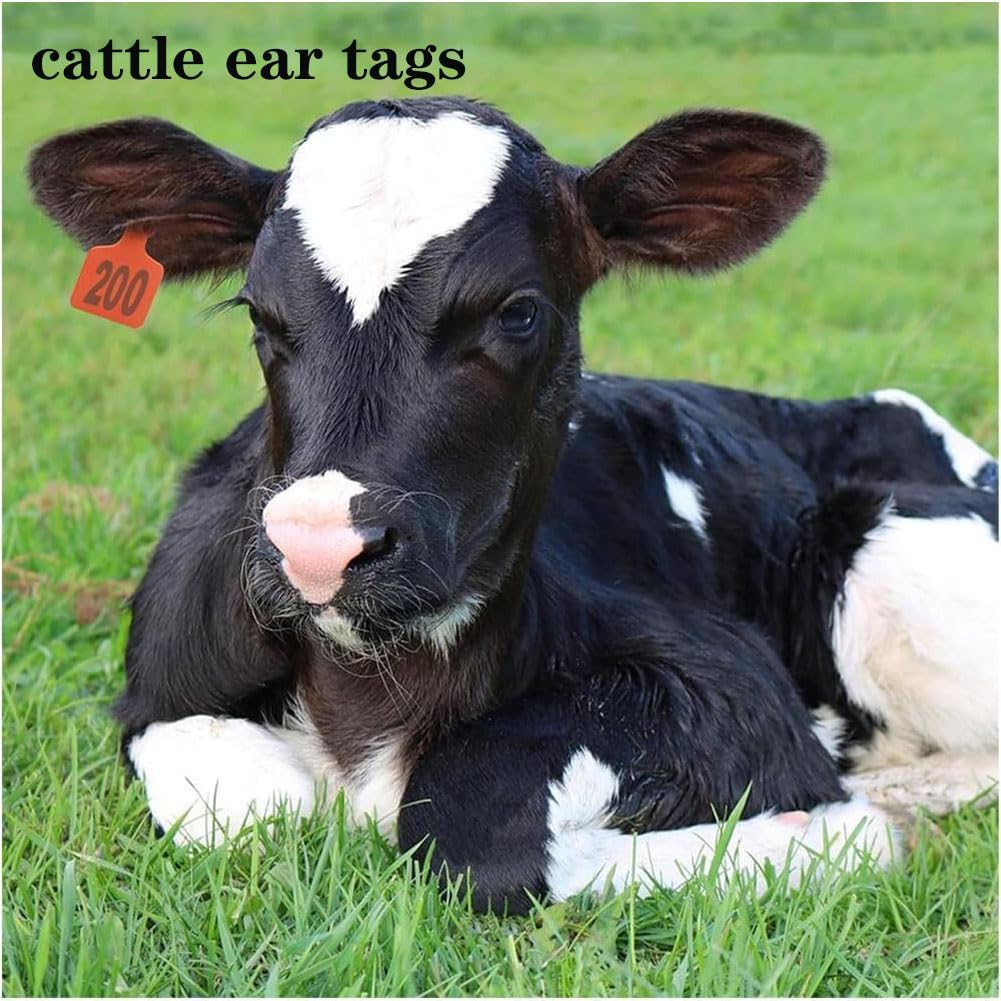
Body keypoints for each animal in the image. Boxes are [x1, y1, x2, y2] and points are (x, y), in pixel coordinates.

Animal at [29, 97, 998, 914]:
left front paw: (842, 827)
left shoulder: (732, 685)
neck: (368, 696)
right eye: (258, 314)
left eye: (518, 312)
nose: (317, 546)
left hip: (874, 544)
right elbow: (256, 807)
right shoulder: (162, 682)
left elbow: (474, 828)